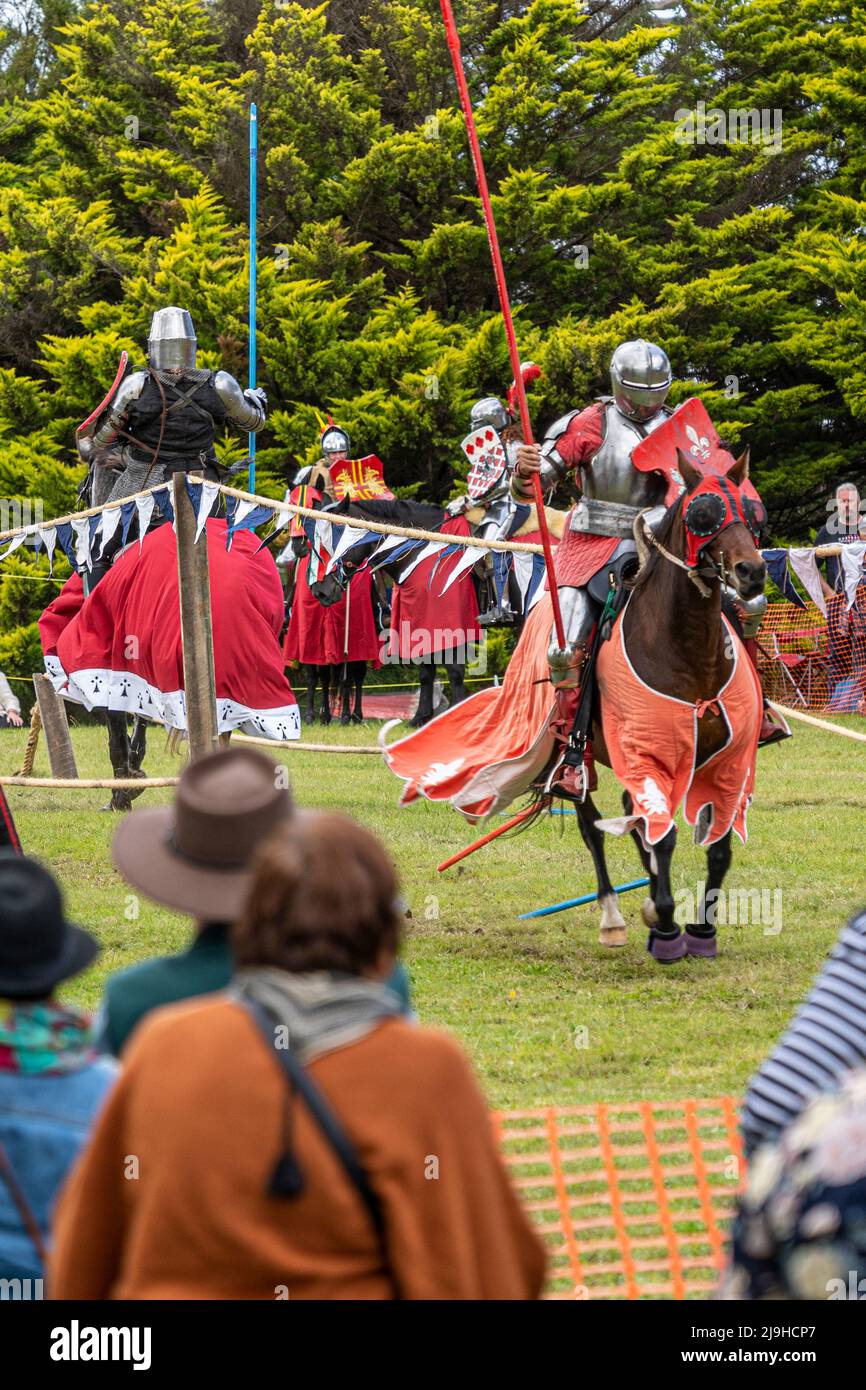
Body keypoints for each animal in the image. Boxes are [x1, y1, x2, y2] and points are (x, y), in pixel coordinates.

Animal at [575, 450, 767, 961]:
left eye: (752, 512)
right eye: (704, 513)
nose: (752, 572)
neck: (687, 651)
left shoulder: (726, 761)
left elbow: (717, 845)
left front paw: (702, 927)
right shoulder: (651, 754)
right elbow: (663, 838)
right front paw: (664, 926)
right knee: (591, 823)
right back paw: (613, 916)